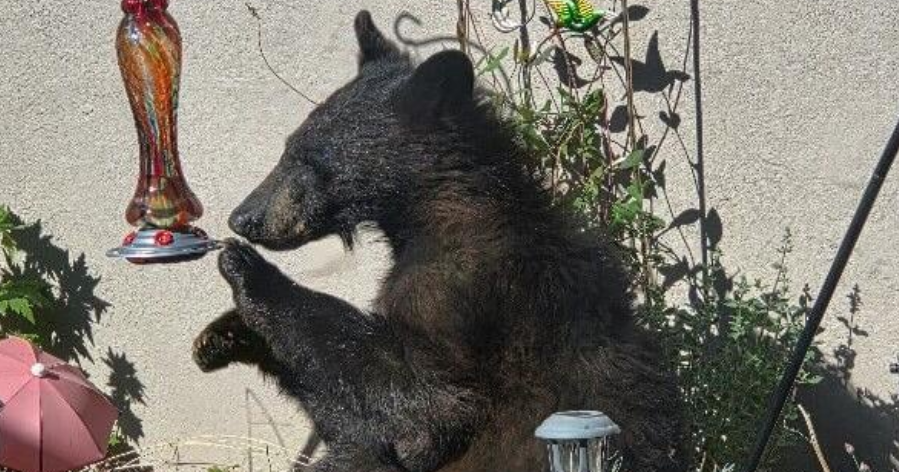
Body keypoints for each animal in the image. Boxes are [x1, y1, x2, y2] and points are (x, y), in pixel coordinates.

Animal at [192, 10, 688, 472]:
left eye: (307, 158)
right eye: (289, 146)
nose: (243, 217)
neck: (442, 206)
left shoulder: (454, 286)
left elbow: (427, 408)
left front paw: (250, 273)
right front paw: (223, 334)